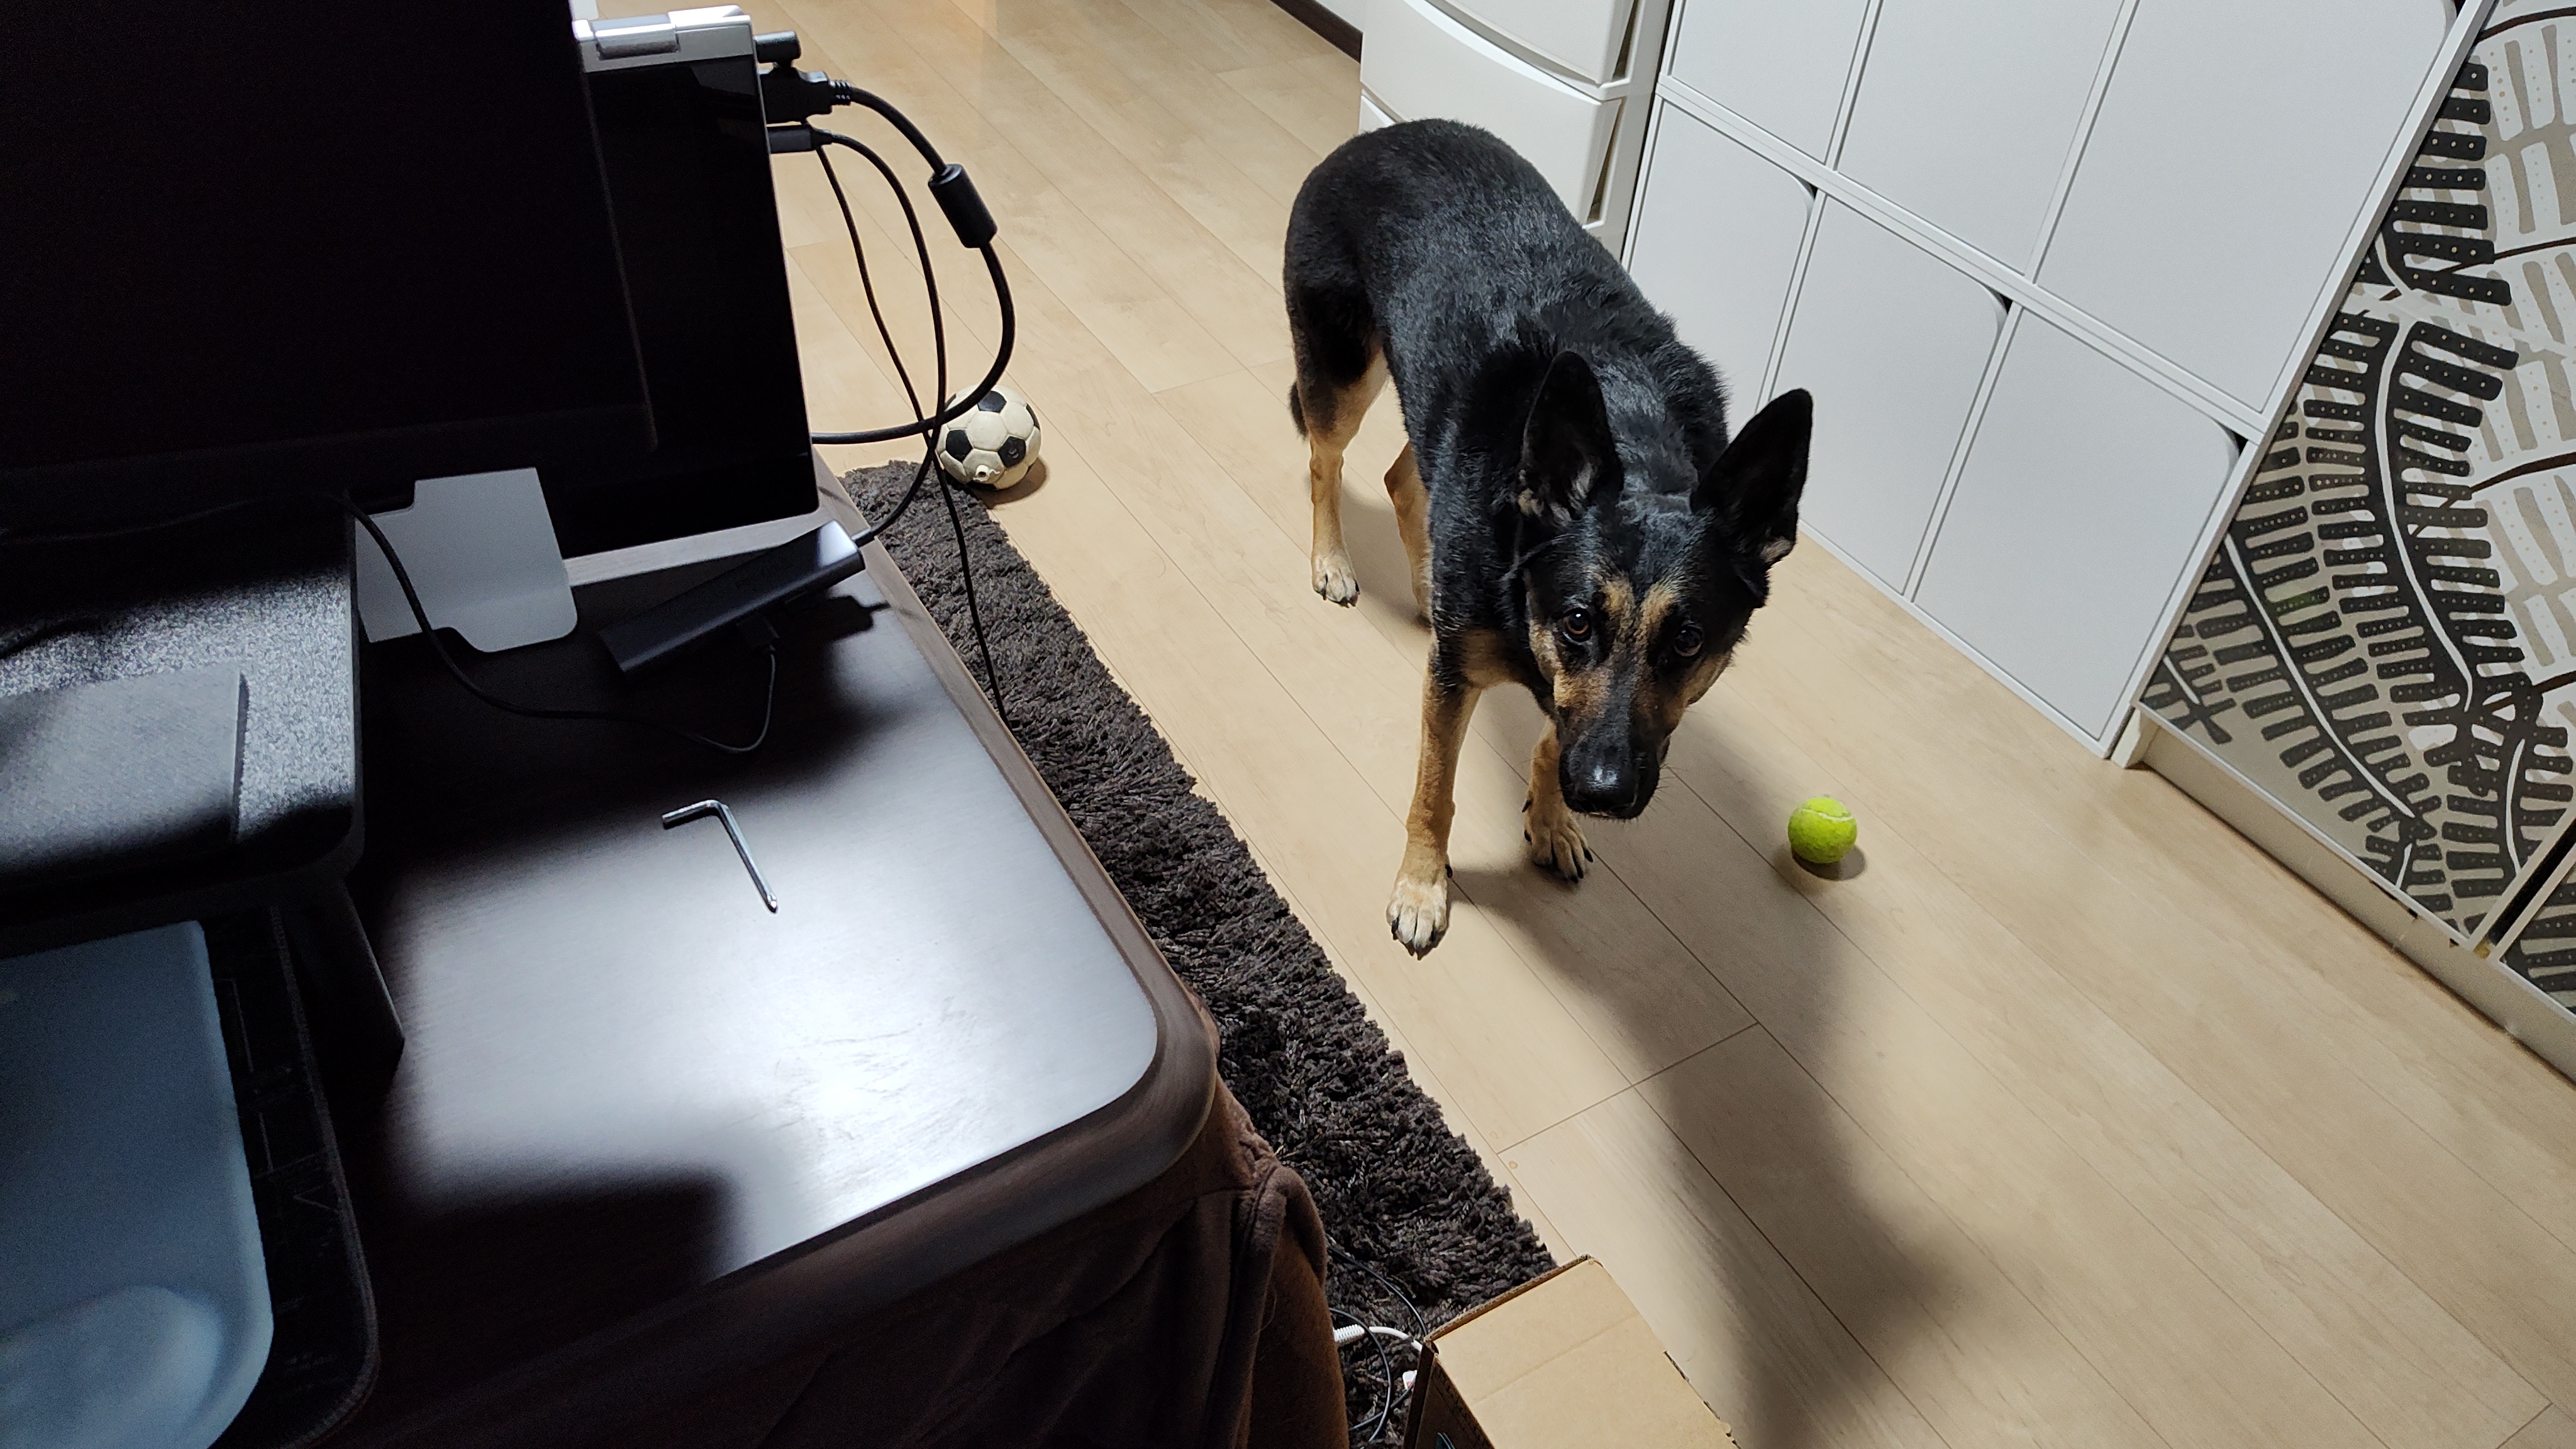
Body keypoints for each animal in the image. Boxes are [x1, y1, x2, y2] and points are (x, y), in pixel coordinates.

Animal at [1283, 120, 1812, 956]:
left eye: (1689, 640)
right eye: (1577, 622)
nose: (1601, 794)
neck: (1634, 440)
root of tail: (1382, 134)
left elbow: (1552, 730)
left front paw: (1553, 821)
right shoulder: (1455, 681)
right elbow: (1434, 790)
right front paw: (1422, 887)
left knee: (1404, 477)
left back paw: (1427, 576)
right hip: (1343, 374)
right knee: (1324, 461)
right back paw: (1332, 560)